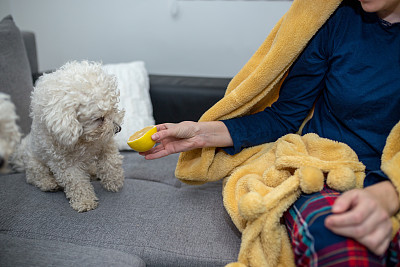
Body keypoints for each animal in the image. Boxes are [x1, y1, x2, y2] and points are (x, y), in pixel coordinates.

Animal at [15, 61, 125, 214]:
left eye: (114, 108)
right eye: (99, 118)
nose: (118, 129)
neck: (82, 138)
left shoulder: (104, 143)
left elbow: (111, 161)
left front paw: (114, 181)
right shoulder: (65, 164)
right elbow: (77, 182)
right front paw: (85, 202)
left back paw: (93, 172)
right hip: (34, 162)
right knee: (34, 176)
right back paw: (49, 183)